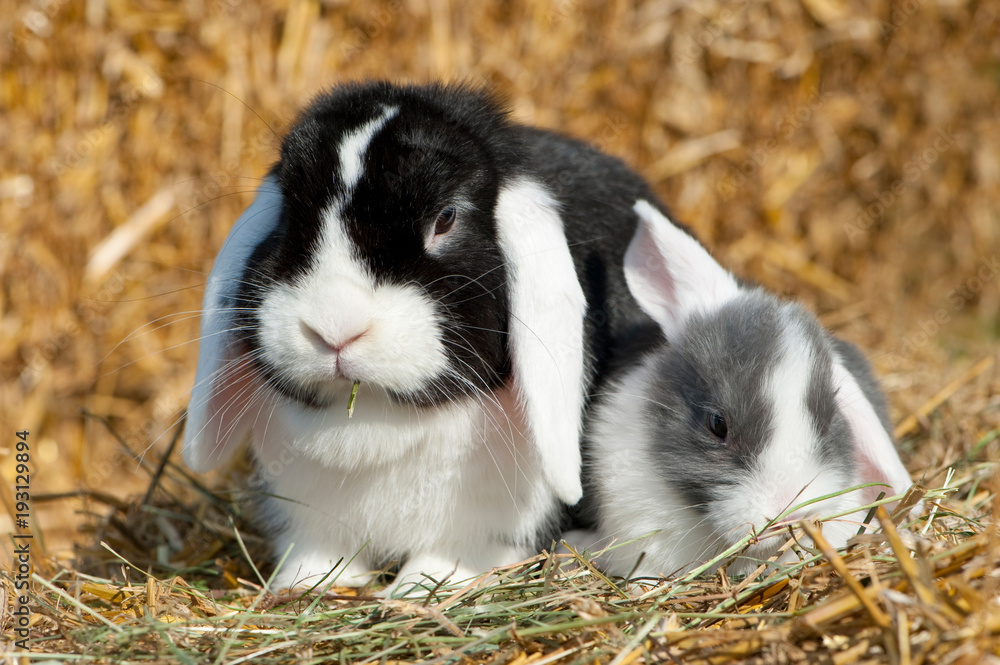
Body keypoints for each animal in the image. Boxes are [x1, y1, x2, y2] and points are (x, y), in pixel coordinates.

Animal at [182, 81, 666, 593]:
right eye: (290, 216)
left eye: (447, 217)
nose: (335, 326)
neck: (374, 421)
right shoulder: (309, 518)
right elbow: (318, 554)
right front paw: (308, 585)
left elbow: (449, 559)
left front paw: (418, 587)